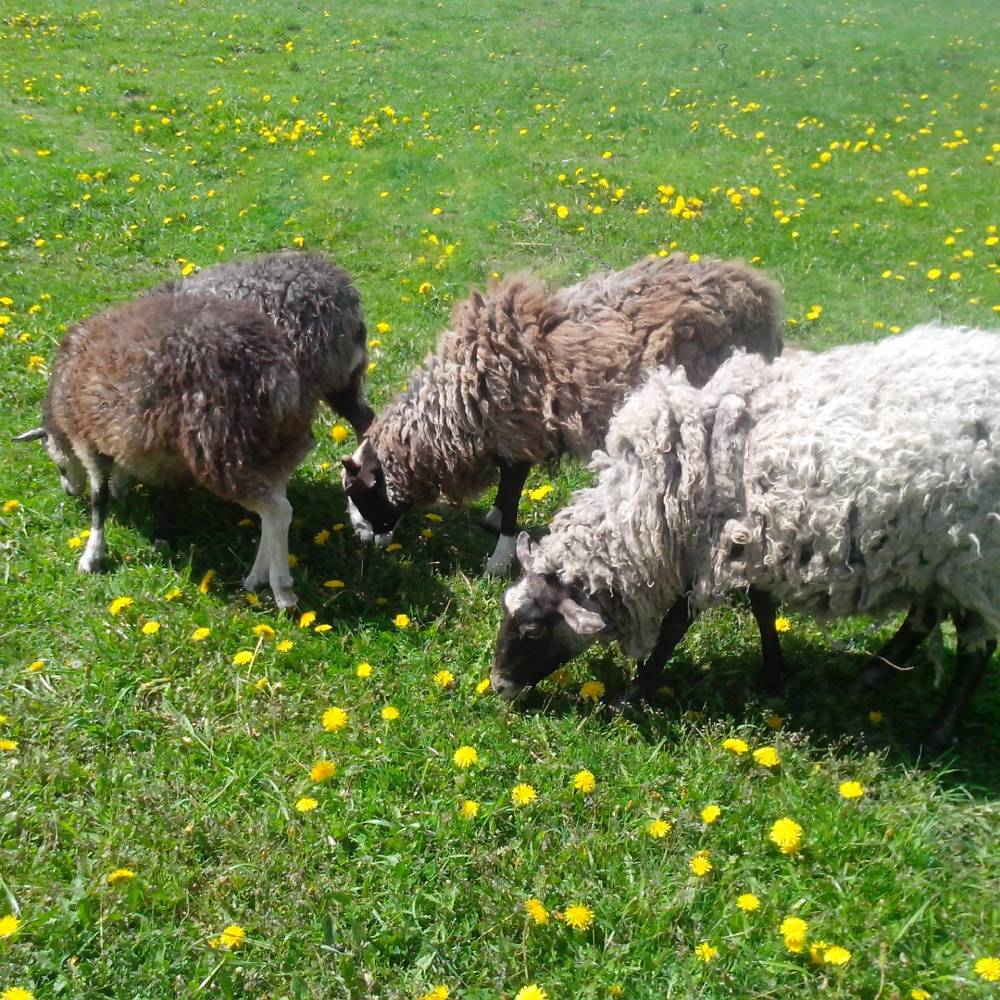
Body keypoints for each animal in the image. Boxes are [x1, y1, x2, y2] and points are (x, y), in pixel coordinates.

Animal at [13, 294, 316, 609]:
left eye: (58, 464)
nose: (69, 492)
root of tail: (276, 369)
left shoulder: (87, 439)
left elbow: (99, 498)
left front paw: (92, 555)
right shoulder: (147, 448)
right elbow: (164, 495)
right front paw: (157, 532)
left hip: (223, 448)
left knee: (278, 510)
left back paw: (282, 590)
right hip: (277, 445)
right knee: (276, 504)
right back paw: (256, 577)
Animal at [341, 252, 783, 575]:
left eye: (361, 493)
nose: (366, 543)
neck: (457, 400)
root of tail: (758, 293)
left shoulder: (518, 437)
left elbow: (511, 497)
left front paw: (498, 561)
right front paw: (492, 520)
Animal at [491, 324, 1000, 752]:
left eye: (534, 629)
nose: (498, 686)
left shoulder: (712, 549)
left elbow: (676, 626)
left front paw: (634, 692)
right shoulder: (755, 542)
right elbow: (762, 607)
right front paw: (773, 673)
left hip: (974, 559)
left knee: (975, 647)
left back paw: (938, 732)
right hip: (932, 553)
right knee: (923, 617)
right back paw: (872, 675)